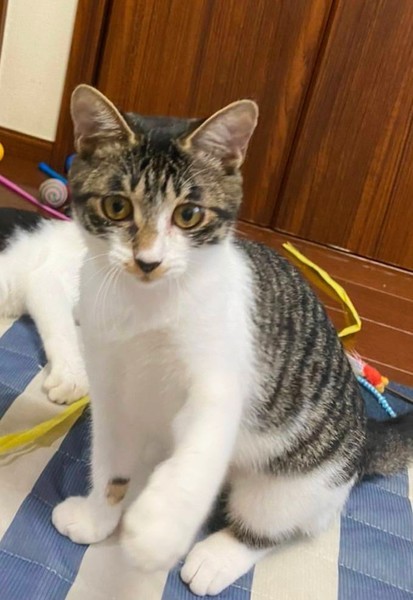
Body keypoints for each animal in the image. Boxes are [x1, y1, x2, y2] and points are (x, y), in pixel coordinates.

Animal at [51, 84, 413, 597]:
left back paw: (218, 555)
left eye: (188, 214)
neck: (146, 307)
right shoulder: (110, 386)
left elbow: (201, 447)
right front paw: (98, 516)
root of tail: (364, 441)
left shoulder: (222, 377)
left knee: (275, 525)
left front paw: (159, 529)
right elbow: (109, 460)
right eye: (117, 207)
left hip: (298, 479)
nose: (148, 261)